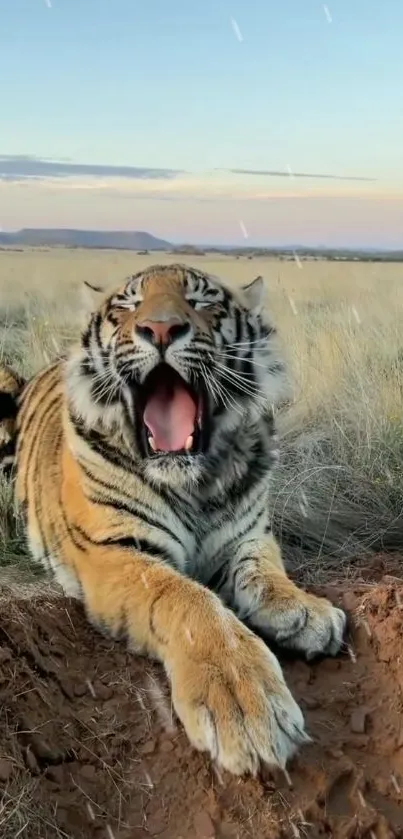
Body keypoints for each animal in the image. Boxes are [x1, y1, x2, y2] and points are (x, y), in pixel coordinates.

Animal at [0, 266, 348, 776]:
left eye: (203, 302)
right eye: (127, 307)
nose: (160, 329)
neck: (193, 483)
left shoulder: (248, 535)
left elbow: (266, 573)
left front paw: (305, 611)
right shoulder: (114, 549)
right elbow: (189, 601)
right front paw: (246, 706)